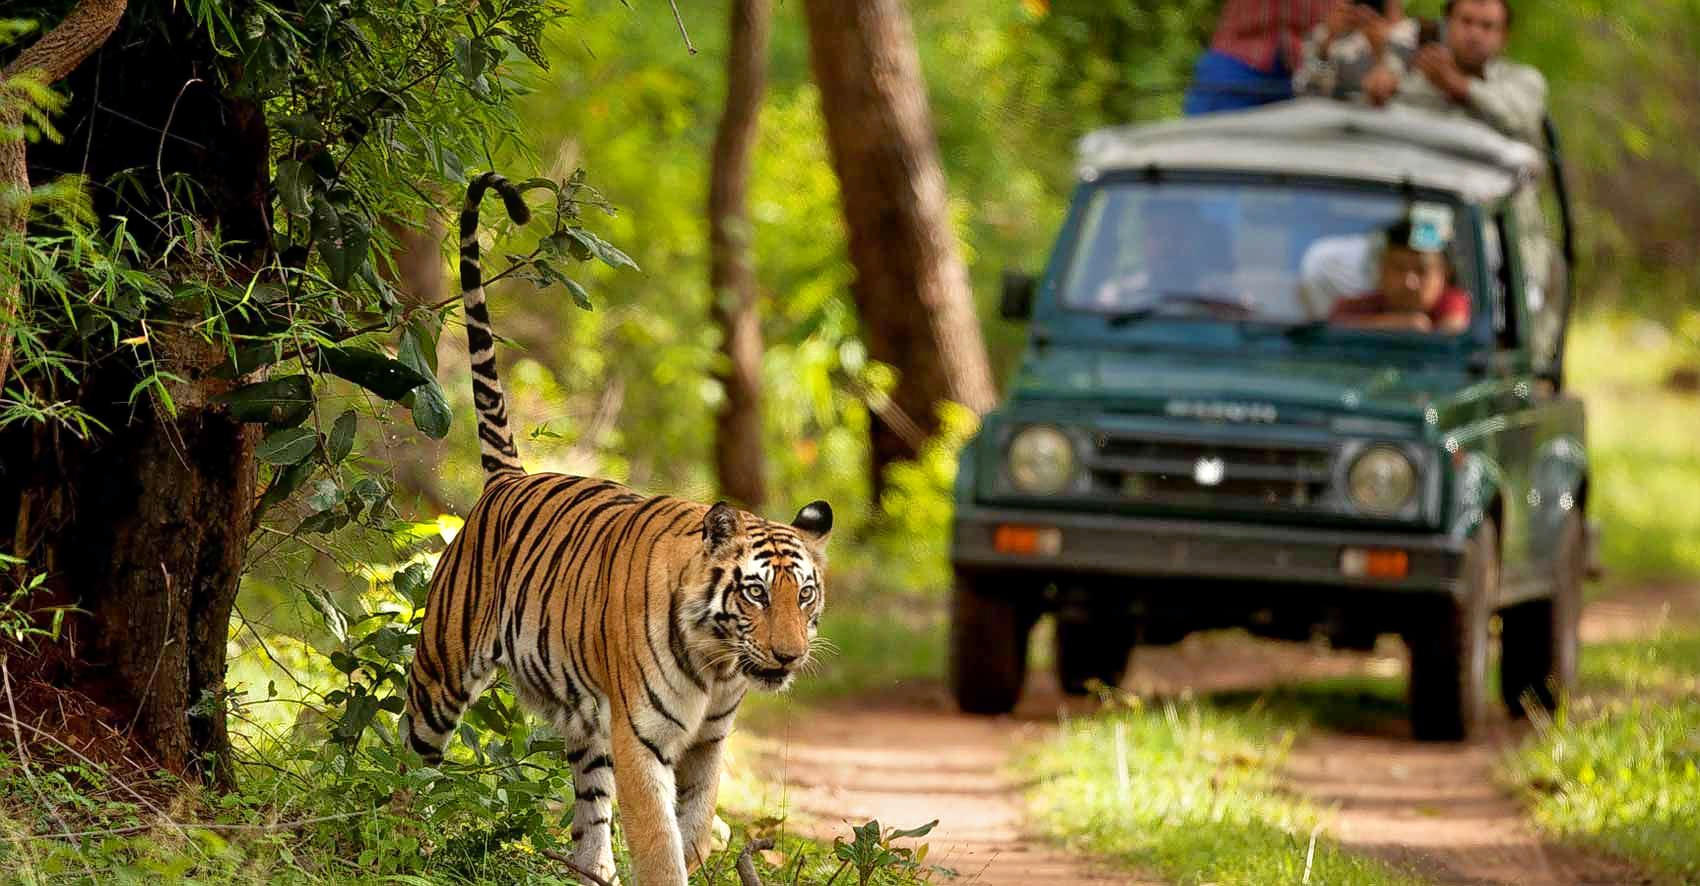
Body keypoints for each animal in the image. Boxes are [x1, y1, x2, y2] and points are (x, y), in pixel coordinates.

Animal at [394, 172, 826, 884]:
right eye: (756, 592)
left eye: (806, 594)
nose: (789, 655)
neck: (719, 664)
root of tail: (509, 478)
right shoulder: (642, 737)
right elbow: (658, 841)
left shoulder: (710, 740)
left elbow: (696, 824)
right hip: (443, 671)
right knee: (404, 756)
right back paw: (388, 825)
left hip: (586, 721)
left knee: (589, 810)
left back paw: (590, 869)